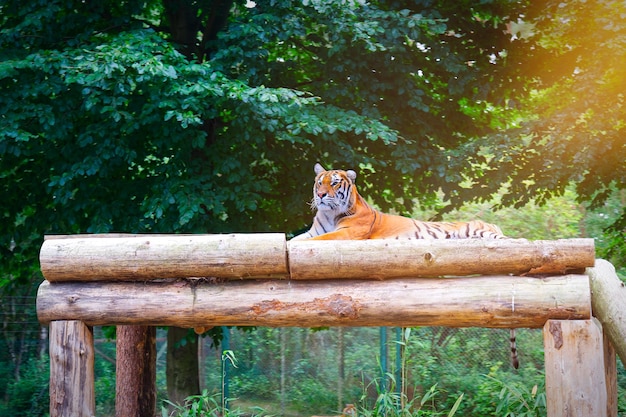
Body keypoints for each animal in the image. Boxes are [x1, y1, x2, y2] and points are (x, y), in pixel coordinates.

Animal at [292, 162, 516, 368]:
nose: (320, 195)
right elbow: (297, 238)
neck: (328, 214)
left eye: (334, 183)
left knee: (515, 241)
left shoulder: (345, 234)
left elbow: (311, 241)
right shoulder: (313, 232)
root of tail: (493, 224)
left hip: (480, 232)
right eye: (319, 183)